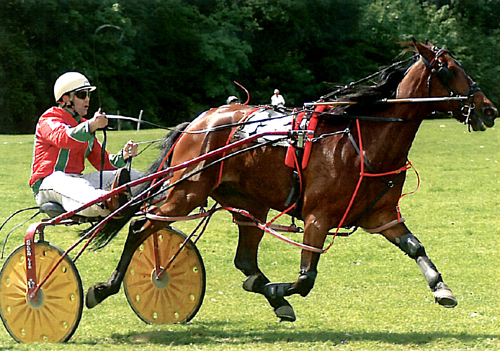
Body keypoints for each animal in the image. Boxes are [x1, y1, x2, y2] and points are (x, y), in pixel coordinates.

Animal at [85, 40, 496, 324]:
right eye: (448, 69)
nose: (488, 109)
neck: (362, 138)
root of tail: (200, 121)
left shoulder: (380, 215)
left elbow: (414, 246)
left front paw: (441, 287)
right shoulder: (318, 218)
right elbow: (306, 278)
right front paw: (277, 287)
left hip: (249, 204)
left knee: (244, 259)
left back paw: (273, 298)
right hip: (186, 192)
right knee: (141, 226)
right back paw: (104, 288)